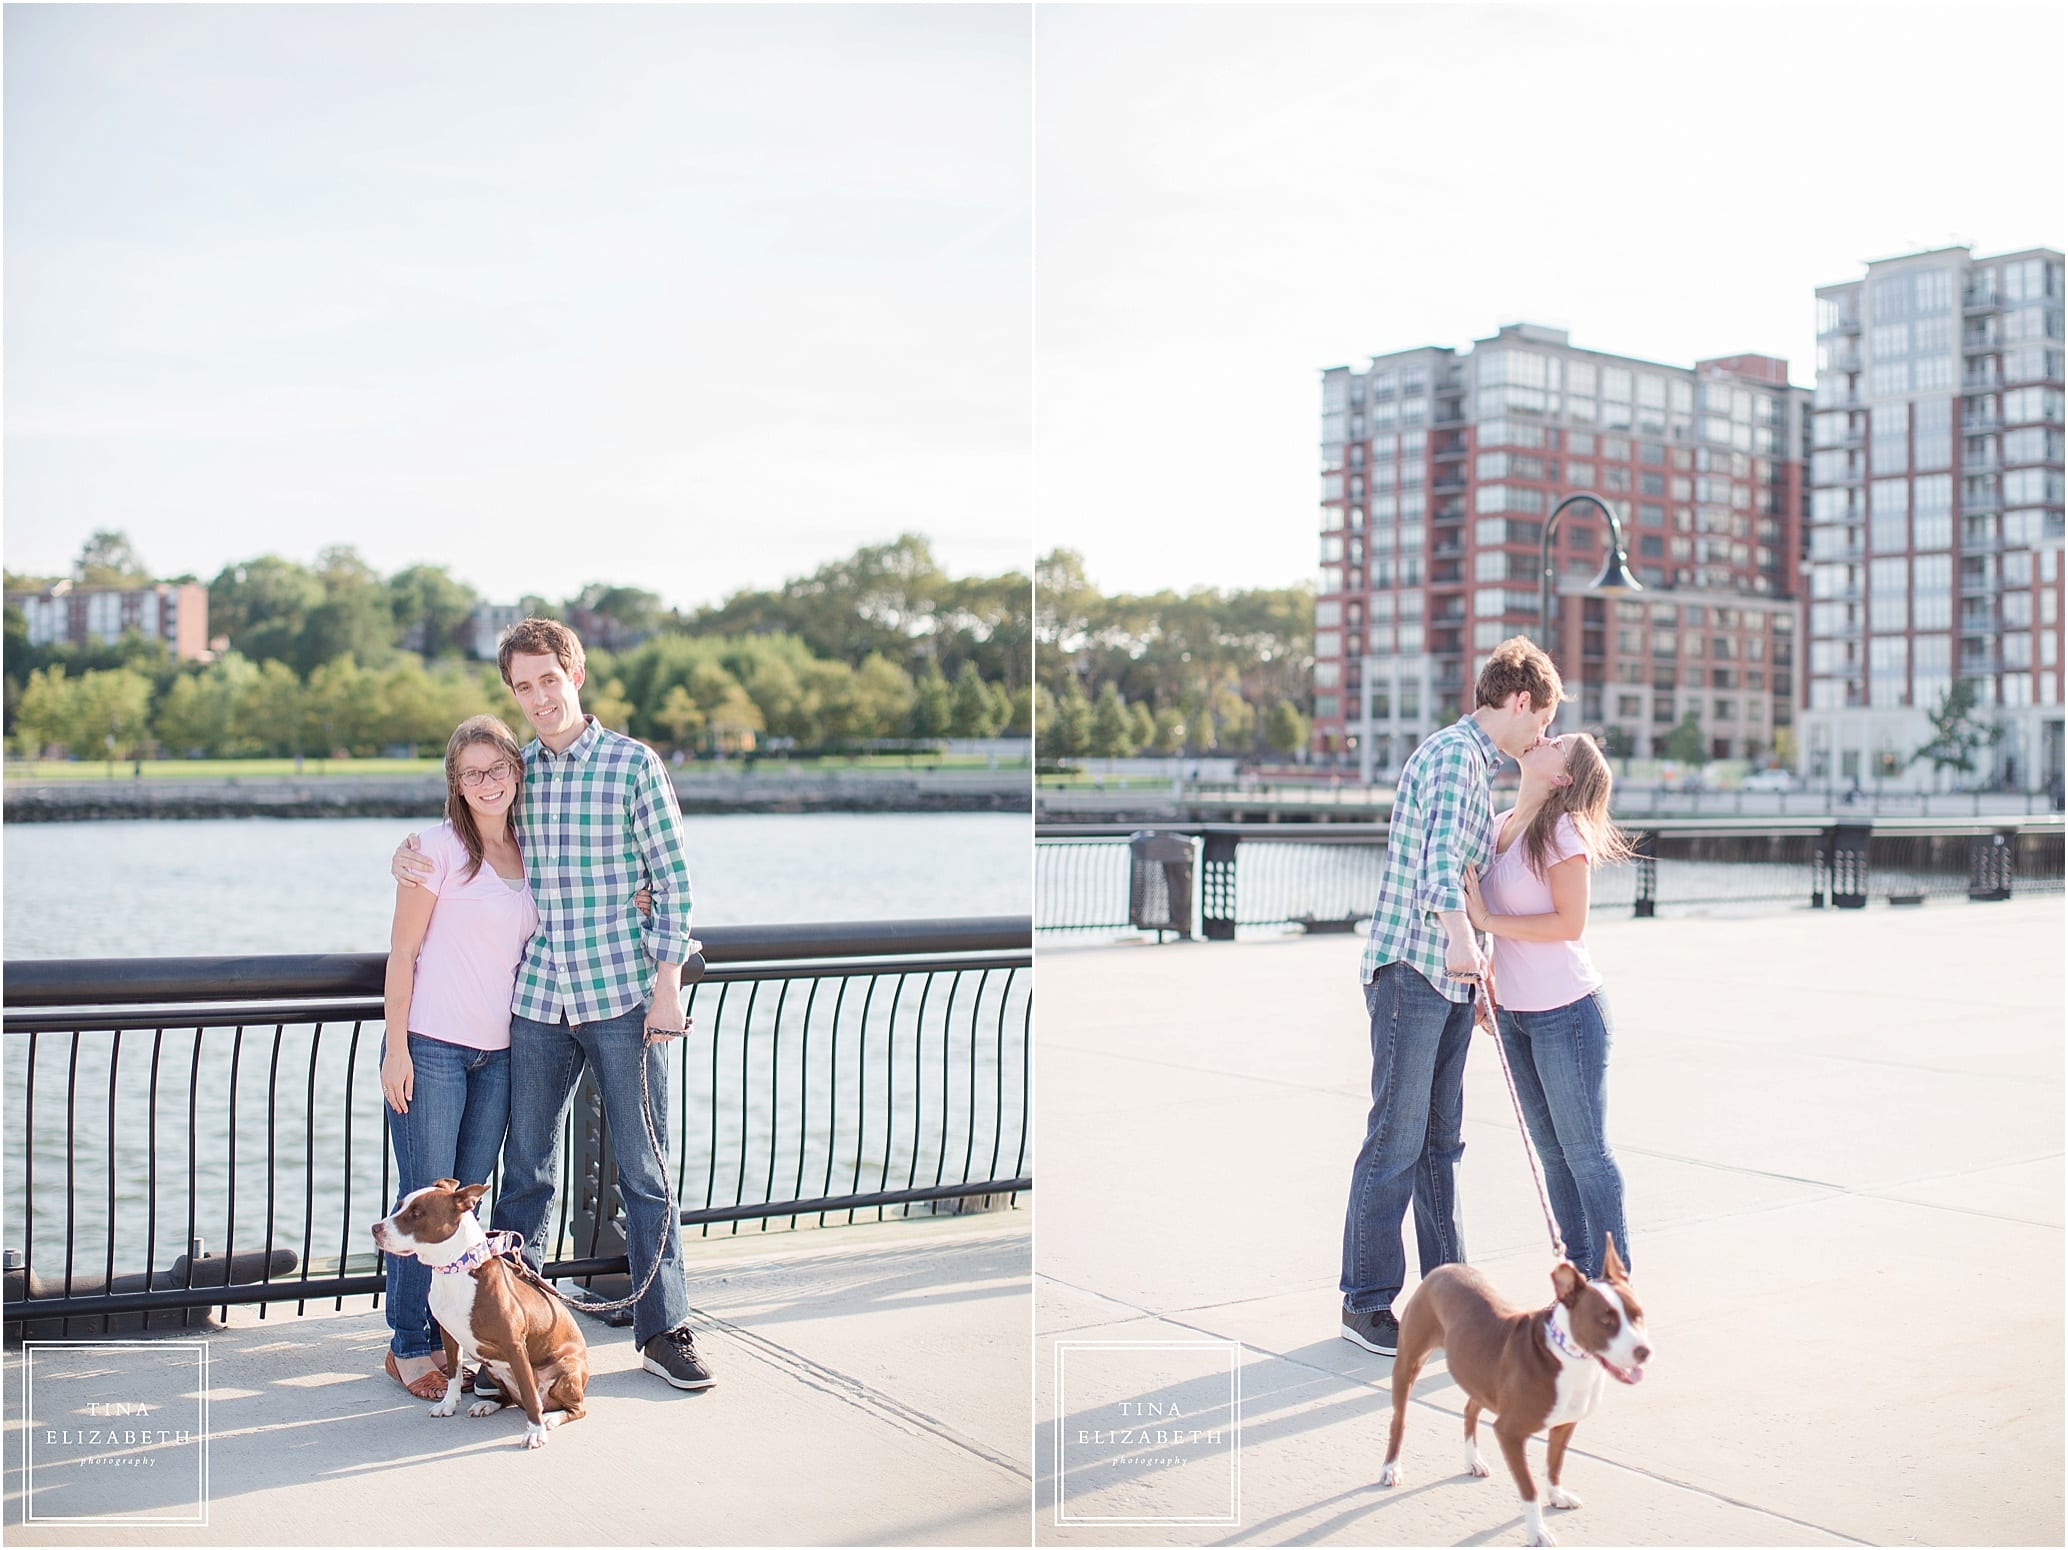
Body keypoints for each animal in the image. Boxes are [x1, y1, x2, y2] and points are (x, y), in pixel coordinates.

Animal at [372, 1182, 591, 1454]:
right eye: (400, 1206)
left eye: (416, 1213)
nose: (375, 1228)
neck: (456, 1269)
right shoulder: (448, 1334)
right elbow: (453, 1373)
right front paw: (448, 1405)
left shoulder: (514, 1346)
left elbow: (530, 1396)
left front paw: (535, 1432)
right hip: (492, 1369)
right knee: (510, 1396)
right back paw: (487, 1404)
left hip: (566, 1369)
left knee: (572, 1407)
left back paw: (550, 1418)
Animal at [1381, 1240, 1654, 1550]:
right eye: (1605, 1322)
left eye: (1638, 1314)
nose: (1644, 1351)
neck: (1568, 1357)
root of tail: (1443, 1269)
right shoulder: (1509, 1433)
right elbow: (1529, 1489)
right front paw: (1538, 1532)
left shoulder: (1564, 1425)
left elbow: (1554, 1464)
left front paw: (1556, 1496)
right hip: (1409, 1362)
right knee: (1399, 1419)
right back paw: (1391, 1467)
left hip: (1480, 1372)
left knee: (1470, 1409)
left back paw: (1472, 1460)